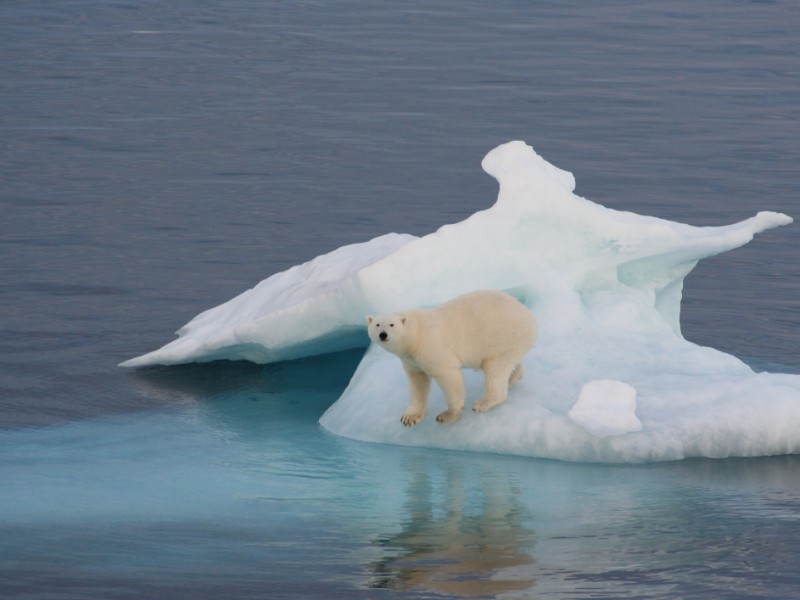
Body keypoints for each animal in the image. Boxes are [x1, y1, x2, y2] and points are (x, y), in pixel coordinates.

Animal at [368, 290, 536, 426]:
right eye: (377, 324)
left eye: (391, 324)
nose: (383, 334)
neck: (416, 335)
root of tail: (528, 314)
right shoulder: (410, 360)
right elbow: (418, 382)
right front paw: (410, 417)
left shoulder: (432, 348)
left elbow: (448, 376)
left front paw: (448, 415)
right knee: (511, 363)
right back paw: (512, 378)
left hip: (503, 338)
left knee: (495, 369)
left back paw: (483, 402)